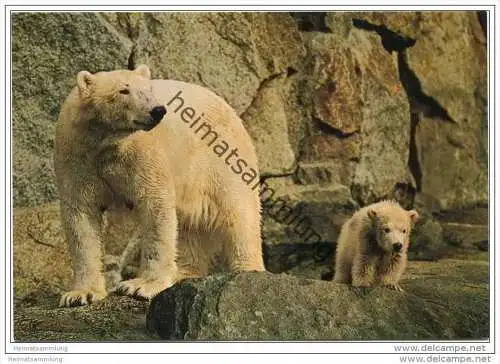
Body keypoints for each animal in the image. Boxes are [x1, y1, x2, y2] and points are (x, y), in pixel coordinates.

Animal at [54, 65, 266, 308]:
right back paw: (183, 273)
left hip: (219, 159)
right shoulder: (76, 156)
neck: (105, 142)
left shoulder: (143, 156)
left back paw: (247, 270)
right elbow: (81, 218)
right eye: (123, 90)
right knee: (189, 227)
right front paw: (80, 294)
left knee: (238, 213)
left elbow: (155, 208)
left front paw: (141, 286)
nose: (157, 110)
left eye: (149, 89)